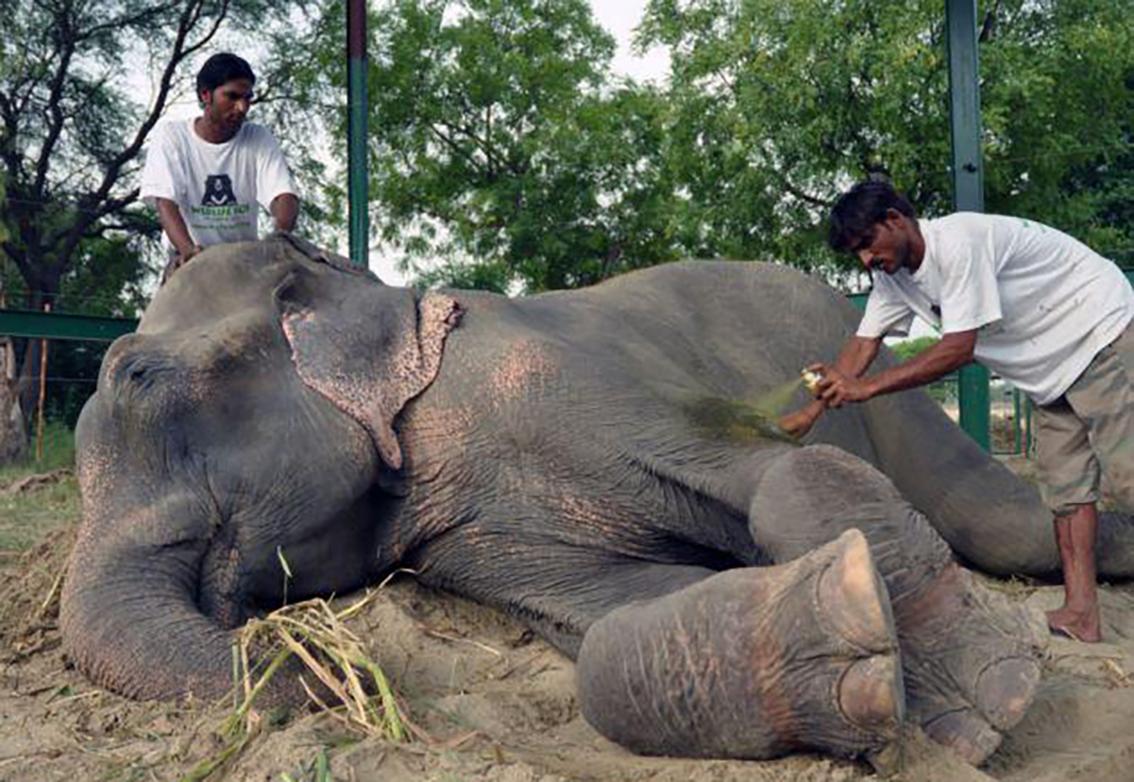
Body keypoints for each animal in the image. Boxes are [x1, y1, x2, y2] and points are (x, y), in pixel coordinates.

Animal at [57, 234, 1134, 766]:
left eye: (138, 376)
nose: (328, 674)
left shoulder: (568, 378)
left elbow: (766, 468)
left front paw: (988, 703)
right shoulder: (467, 532)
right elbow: (614, 617)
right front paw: (852, 653)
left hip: (897, 396)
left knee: (1009, 524)